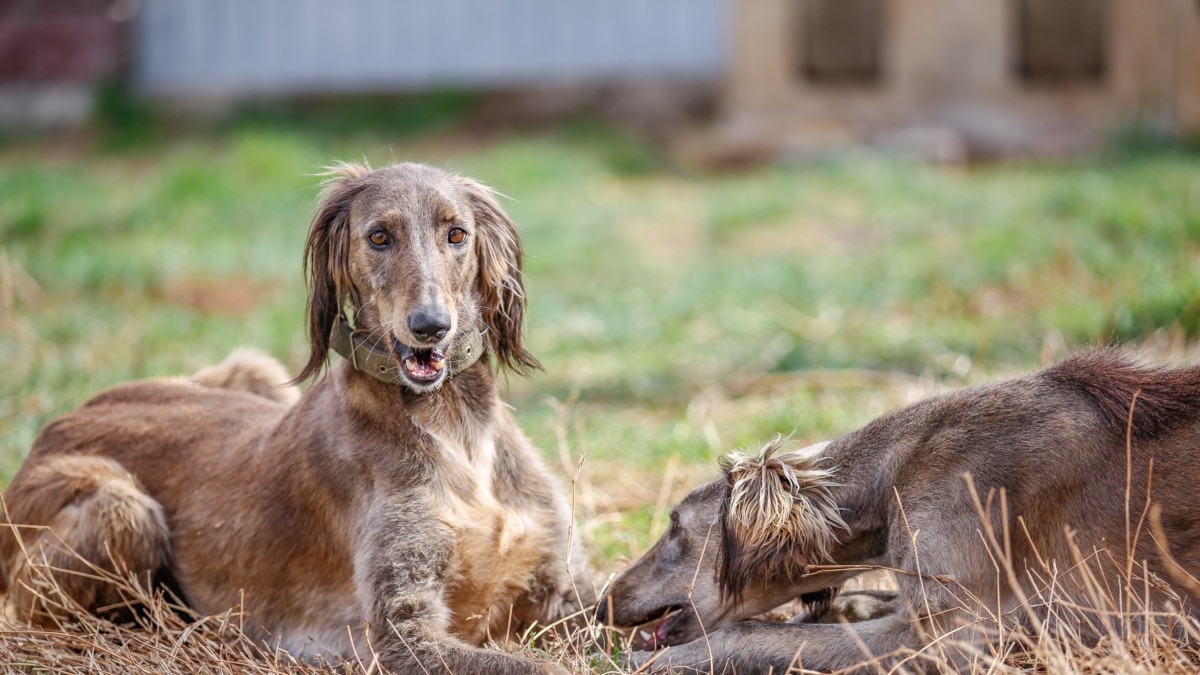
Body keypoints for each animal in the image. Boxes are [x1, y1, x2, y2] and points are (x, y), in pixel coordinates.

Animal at [3, 159, 595, 667]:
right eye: (379, 236)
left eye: (457, 234)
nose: (430, 327)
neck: (453, 422)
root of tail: (54, 427)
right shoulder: (402, 636)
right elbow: (540, 667)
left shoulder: (569, 591)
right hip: (121, 507)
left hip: (253, 369)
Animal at [604, 348, 1200, 667]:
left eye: (675, 526)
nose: (602, 603)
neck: (895, 472)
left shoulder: (952, 638)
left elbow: (755, 634)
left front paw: (652, 661)